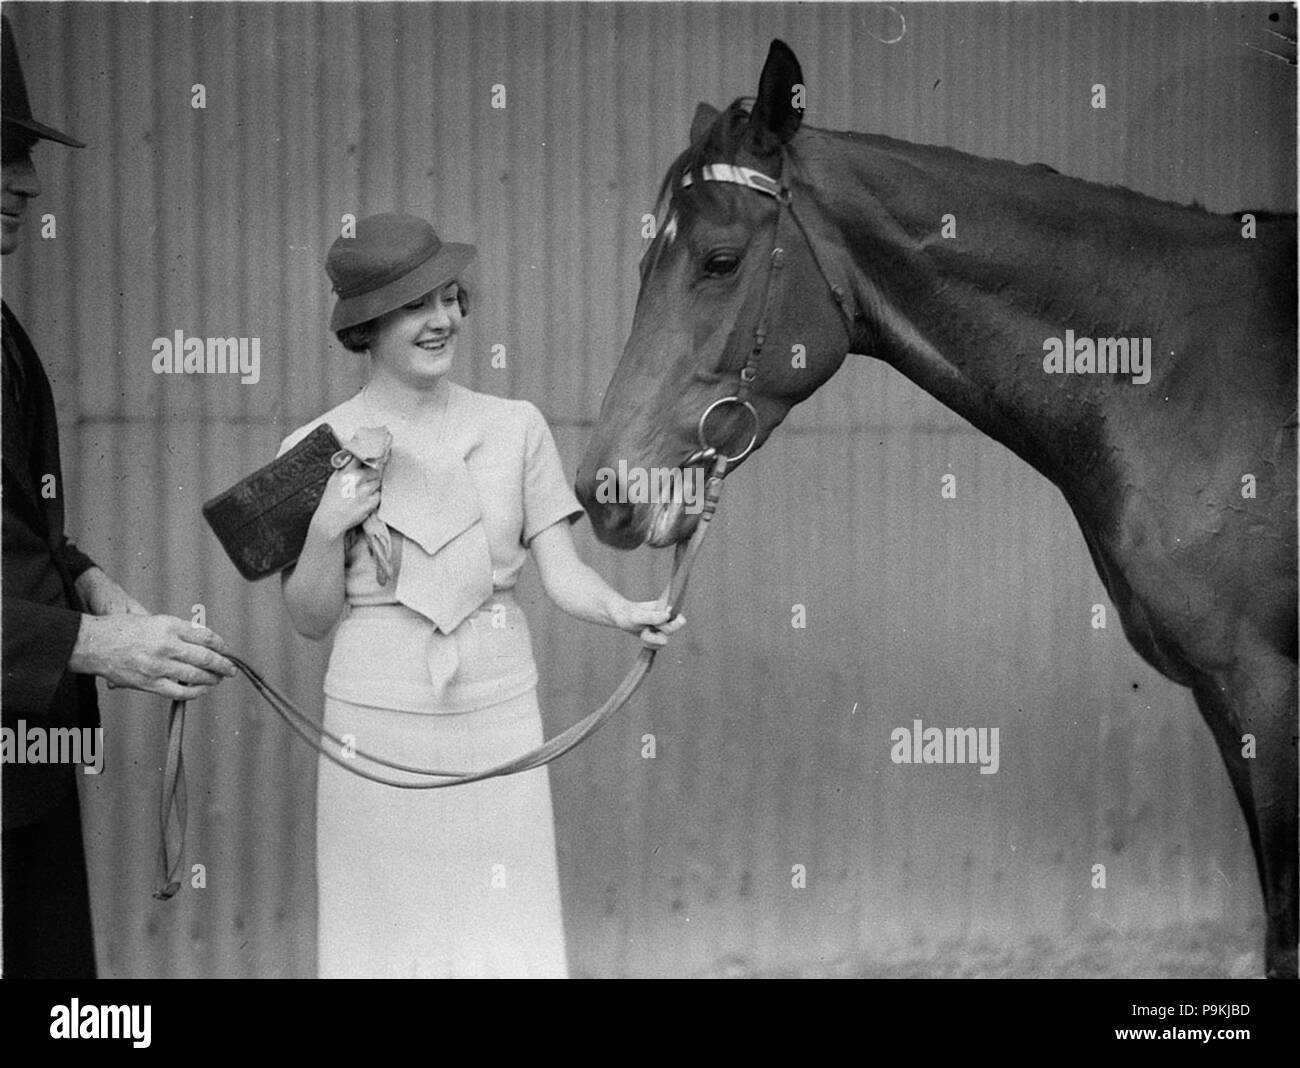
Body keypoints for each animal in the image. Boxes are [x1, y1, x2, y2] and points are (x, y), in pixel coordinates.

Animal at [575, 39, 1298, 978]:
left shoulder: (1267, 692)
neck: (1180, 367)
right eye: (641, 266)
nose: (604, 491)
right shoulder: (1224, 702)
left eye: (720, 261)